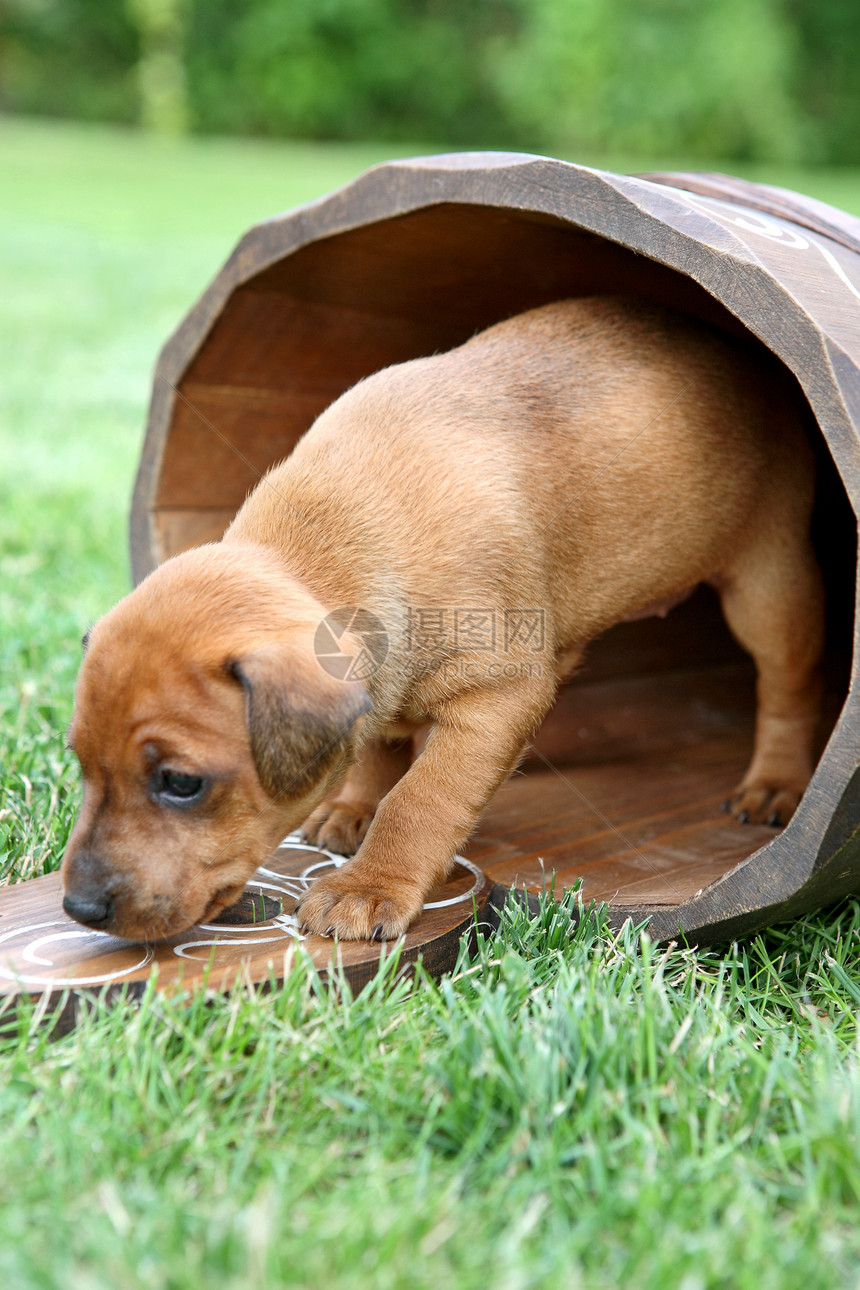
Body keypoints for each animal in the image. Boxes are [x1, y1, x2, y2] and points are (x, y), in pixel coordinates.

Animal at [63, 301, 825, 949]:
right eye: (79, 763)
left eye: (180, 783)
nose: (79, 908)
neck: (330, 537)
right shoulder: (383, 682)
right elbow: (378, 749)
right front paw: (355, 807)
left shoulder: (495, 700)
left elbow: (421, 800)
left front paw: (370, 884)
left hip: (769, 589)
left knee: (787, 688)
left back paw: (777, 784)